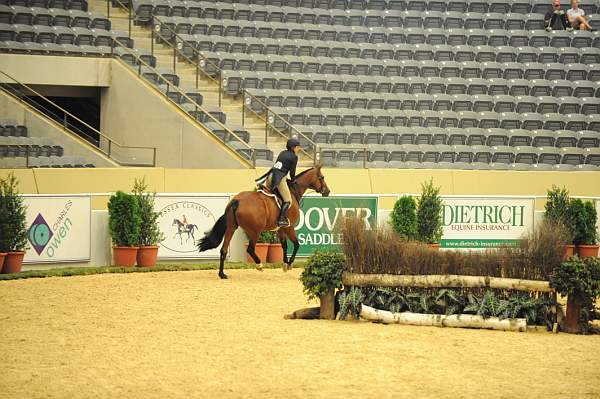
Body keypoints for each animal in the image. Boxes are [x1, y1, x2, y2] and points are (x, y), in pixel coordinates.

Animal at [198, 167, 330, 280]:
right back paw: (259, 265)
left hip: (231, 228)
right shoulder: (289, 227)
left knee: (223, 250)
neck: (292, 191)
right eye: (322, 177)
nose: (327, 191)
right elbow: (297, 244)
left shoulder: (281, 229)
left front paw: (285, 264)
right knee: (250, 249)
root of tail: (236, 200)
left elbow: (284, 245)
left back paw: (222, 274)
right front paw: (289, 264)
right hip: (256, 230)